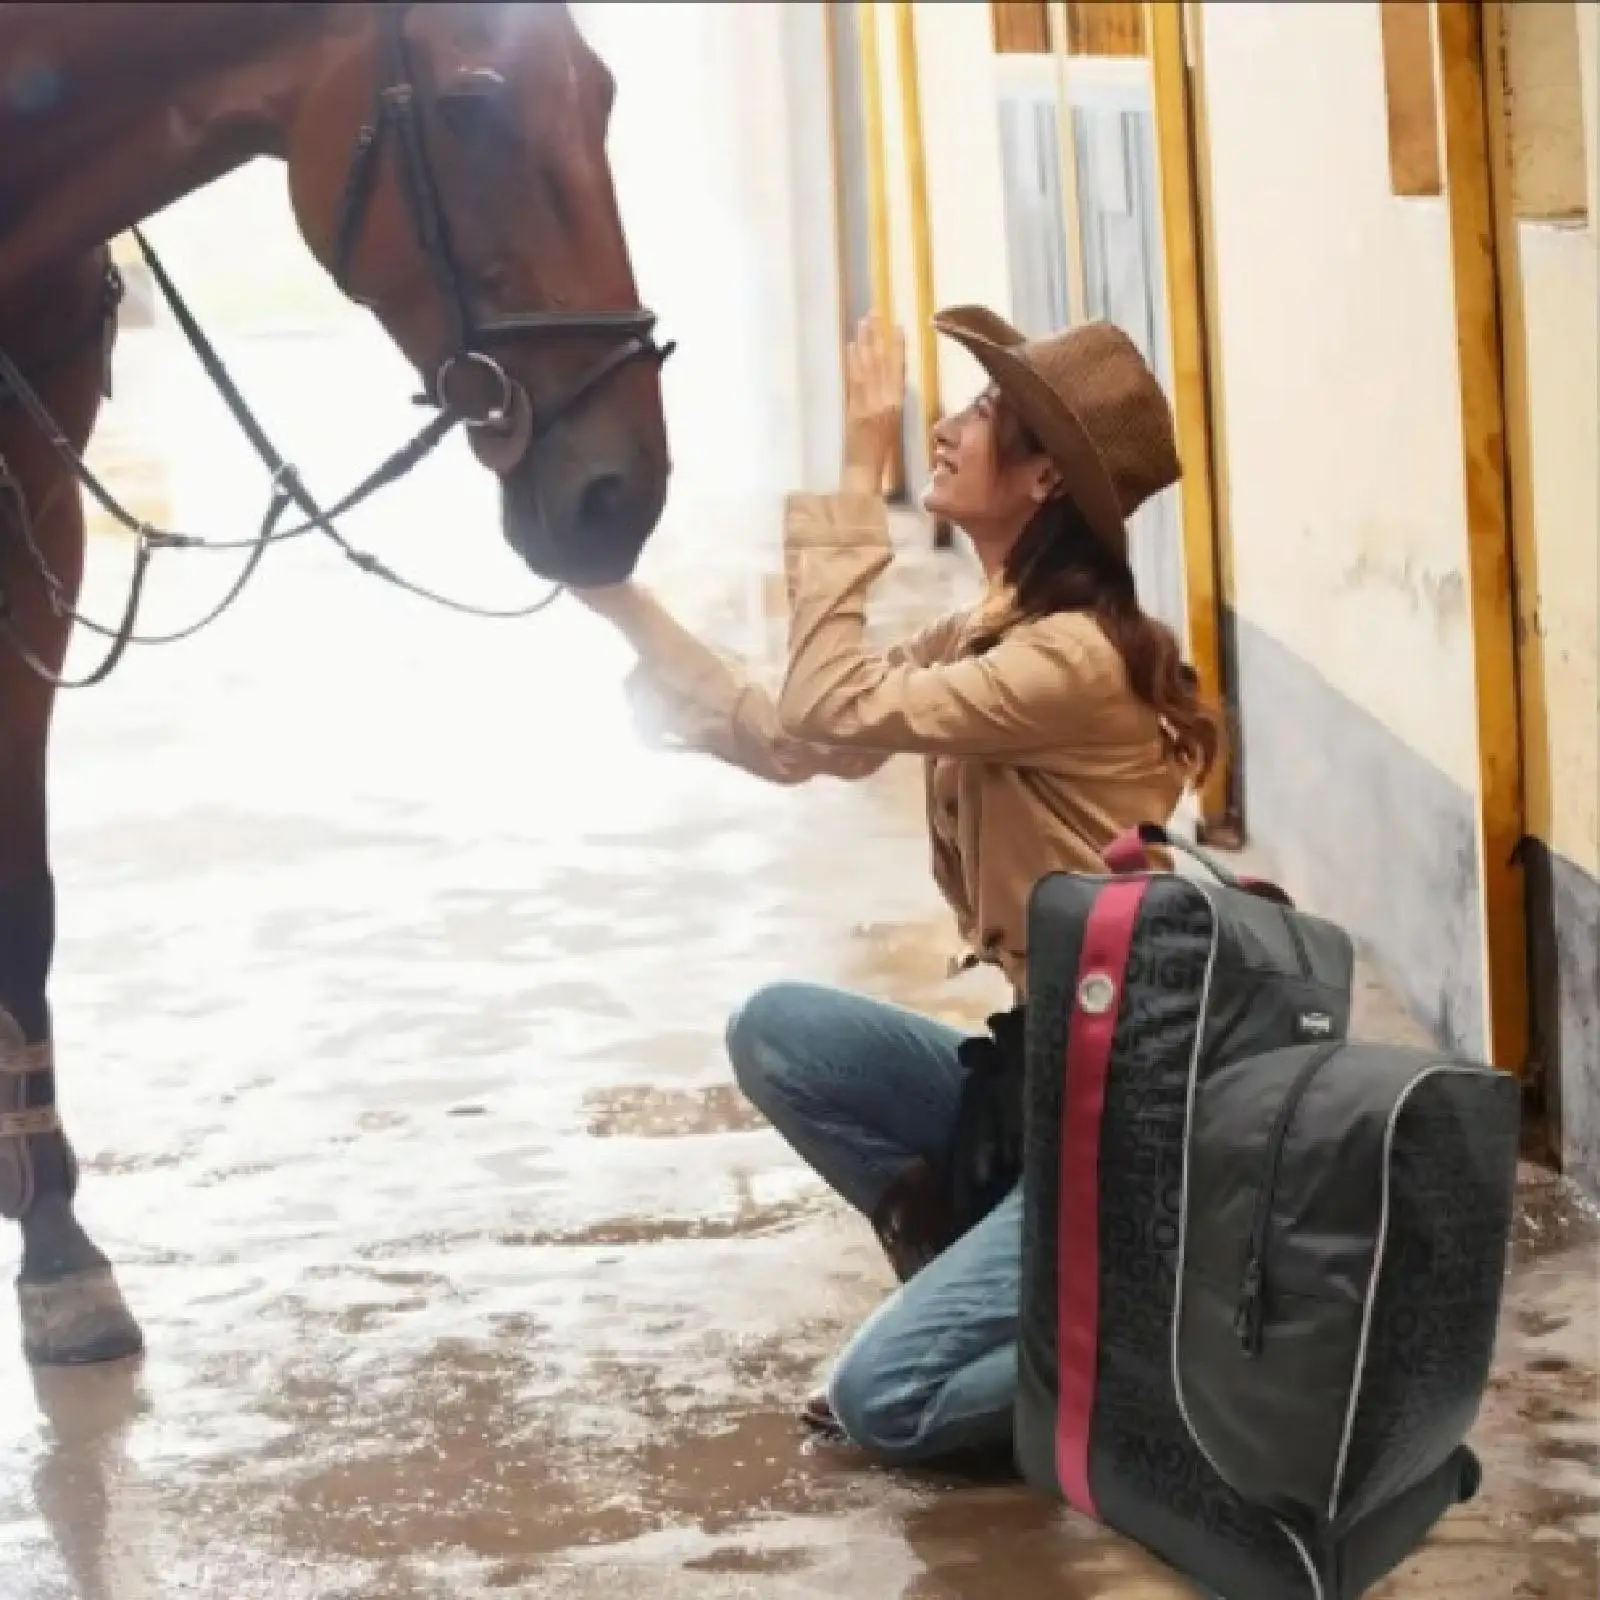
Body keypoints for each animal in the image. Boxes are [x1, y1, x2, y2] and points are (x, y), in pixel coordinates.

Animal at [0, 1, 673, 1368]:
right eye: (468, 104)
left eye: (604, 93)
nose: (620, 490)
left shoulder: (39, 530)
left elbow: (23, 902)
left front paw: (55, 1243)